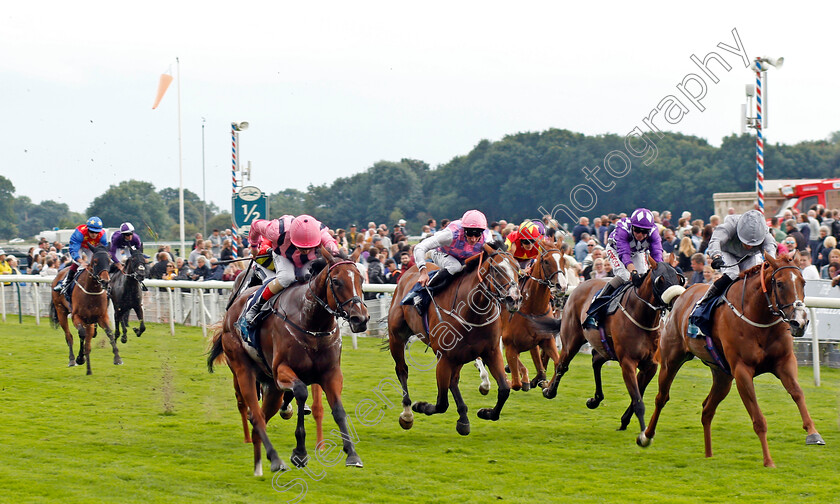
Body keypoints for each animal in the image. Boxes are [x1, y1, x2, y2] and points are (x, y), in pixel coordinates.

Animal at [207, 248, 368, 476]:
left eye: (361, 279)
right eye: (336, 281)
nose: (360, 319)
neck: (312, 323)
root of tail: (231, 310)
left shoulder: (331, 373)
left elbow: (338, 410)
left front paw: (352, 454)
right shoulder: (281, 370)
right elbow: (300, 391)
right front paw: (300, 452)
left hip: (272, 388)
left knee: (262, 416)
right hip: (243, 369)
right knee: (254, 414)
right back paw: (275, 459)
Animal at [386, 242, 520, 436]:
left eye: (518, 268)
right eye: (496, 269)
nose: (514, 299)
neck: (472, 313)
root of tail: (408, 271)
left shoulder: (491, 352)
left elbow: (504, 389)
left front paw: (485, 412)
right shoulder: (444, 358)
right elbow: (441, 403)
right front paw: (421, 406)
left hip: (460, 356)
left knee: (454, 380)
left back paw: (463, 418)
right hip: (396, 337)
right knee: (402, 370)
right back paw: (407, 413)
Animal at [502, 243, 568, 394]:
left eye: (563, 260)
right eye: (546, 261)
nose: (562, 286)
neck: (532, 308)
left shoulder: (546, 340)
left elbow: (556, 363)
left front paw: (547, 385)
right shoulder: (510, 343)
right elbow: (516, 382)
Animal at [540, 256, 684, 434]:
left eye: (679, 278)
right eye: (660, 280)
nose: (677, 301)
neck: (643, 317)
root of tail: (579, 286)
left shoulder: (650, 365)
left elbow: (638, 393)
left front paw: (625, 420)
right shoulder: (627, 362)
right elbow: (638, 400)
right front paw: (642, 431)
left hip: (605, 348)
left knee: (595, 360)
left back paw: (595, 399)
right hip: (572, 339)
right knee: (562, 364)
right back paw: (549, 390)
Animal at [640, 252, 824, 468]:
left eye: (803, 282)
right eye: (779, 283)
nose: (800, 322)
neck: (760, 319)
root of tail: (682, 295)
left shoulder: (784, 362)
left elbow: (797, 393)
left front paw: (813, 433)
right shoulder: (742, 370)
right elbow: (758, 419)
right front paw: (768, 460)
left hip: (722, 375)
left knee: (707, 409)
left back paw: (709, 454)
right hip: (671, 360)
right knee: (662, 397)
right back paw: (646, 436)